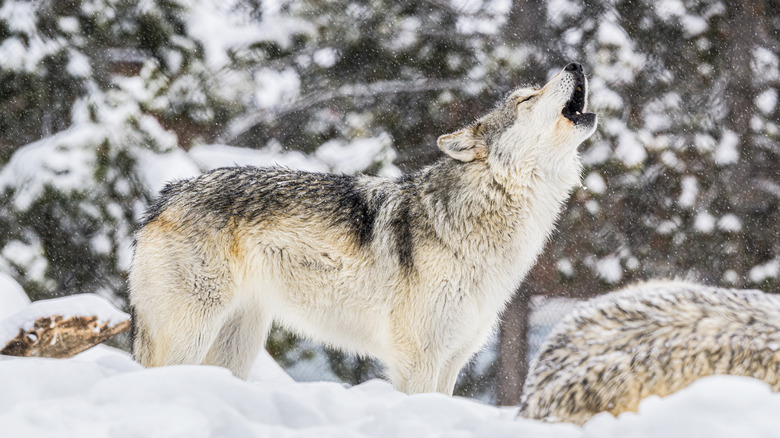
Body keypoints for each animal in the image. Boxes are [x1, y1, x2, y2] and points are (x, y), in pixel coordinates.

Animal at [129, 62, 597, 395]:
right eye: (527, 98)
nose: (575, 63)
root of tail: (165, 196)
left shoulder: (452, 360)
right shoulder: (419, 359)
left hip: (236, 345)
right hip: (191, 335)